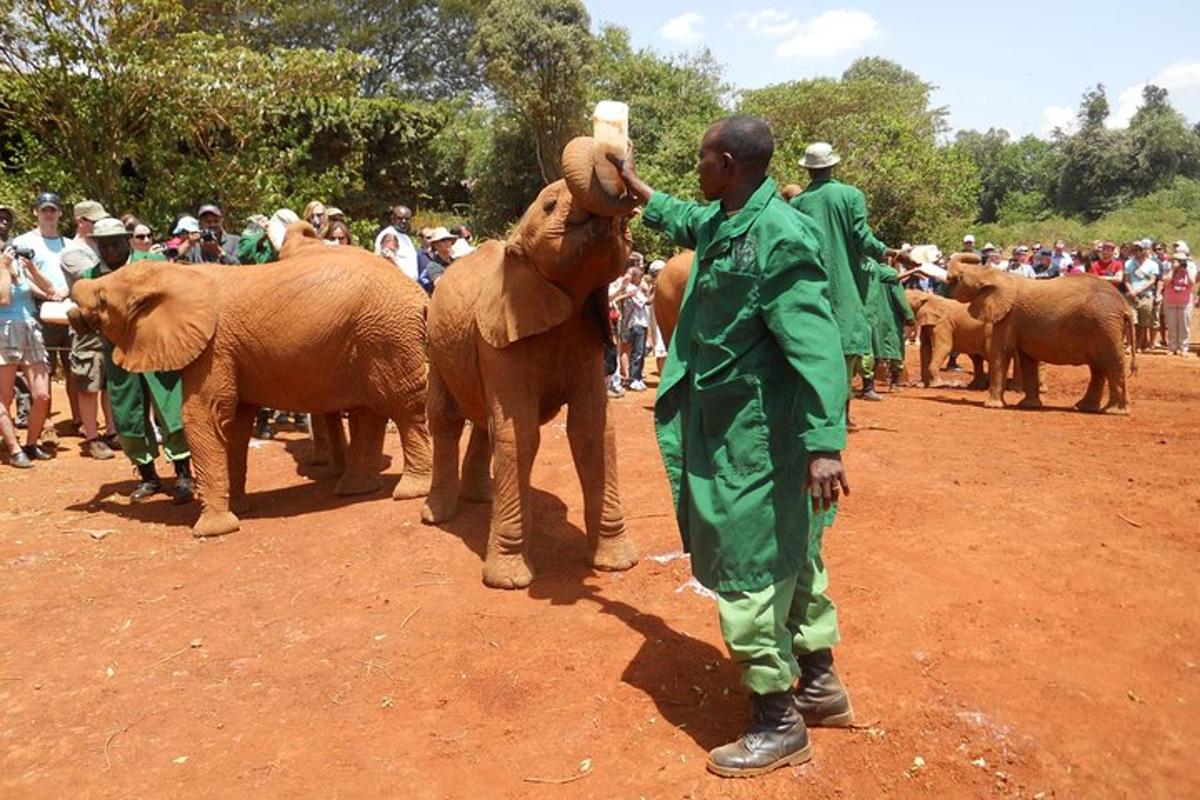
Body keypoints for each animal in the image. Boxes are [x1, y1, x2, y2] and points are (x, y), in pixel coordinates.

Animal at [424, 136, 643, 587]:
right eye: (549, 205)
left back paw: (480, 498)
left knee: (483, 420)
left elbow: (593, 428)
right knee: (446, 418)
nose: (617, 164)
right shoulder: (500, 336)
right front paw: (509, 582)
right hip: (435, 344)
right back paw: (438, 515)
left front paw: (617, 564)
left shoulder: (587, 338)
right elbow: (520, 433)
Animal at [945, 255, 1132, 412]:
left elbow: (1002, 352)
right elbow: (1027, 359)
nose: (979, 257)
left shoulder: (1009, 316)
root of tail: (1125, 306)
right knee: (1098, 367)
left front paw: (992, 406)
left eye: (960, 277)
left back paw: (1114, 411)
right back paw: (1086, 408)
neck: (1001, 277)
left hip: (1105, 325)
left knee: (1112, 362)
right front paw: (1029, 406)